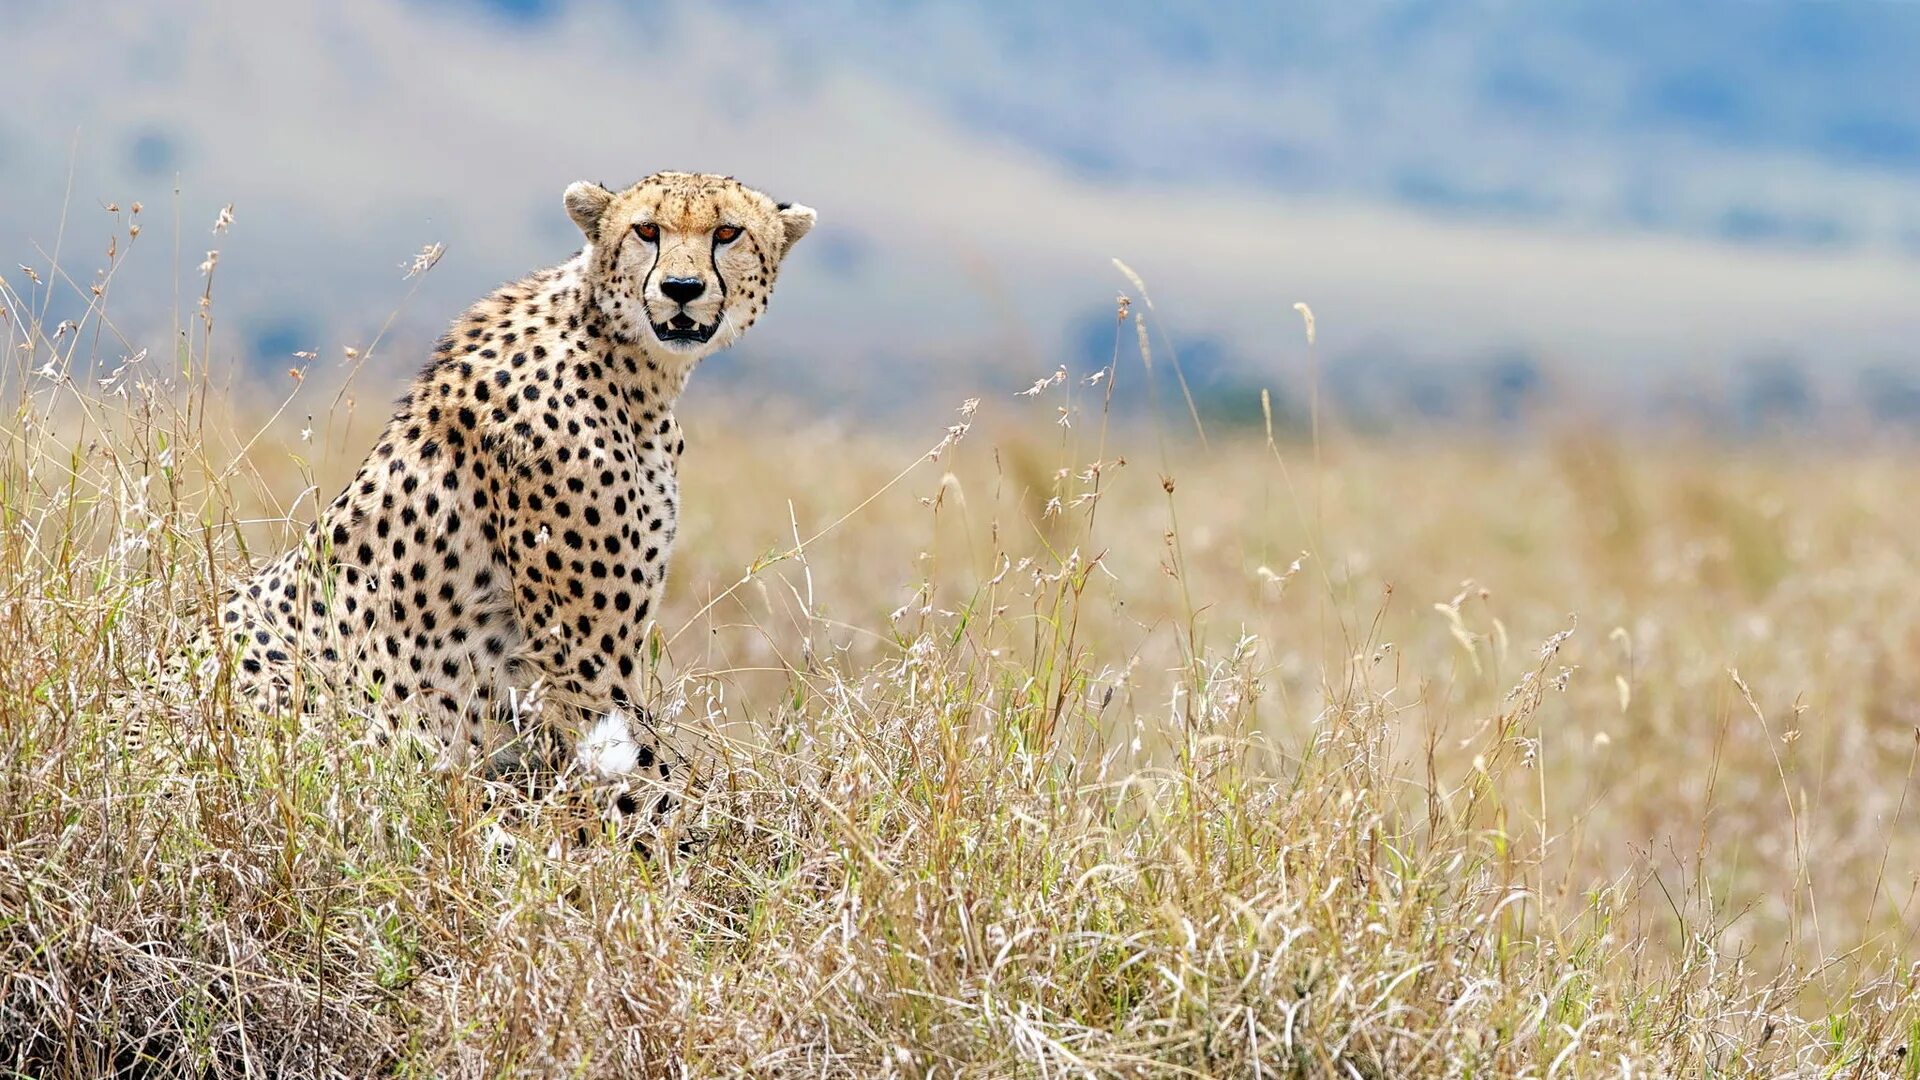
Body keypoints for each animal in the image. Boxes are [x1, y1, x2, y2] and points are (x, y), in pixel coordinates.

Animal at [200, 170, 810, 791]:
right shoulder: (582, 659)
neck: (627, 363)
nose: (681, 287)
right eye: (646, 230)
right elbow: (650, 780)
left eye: (727, 232)